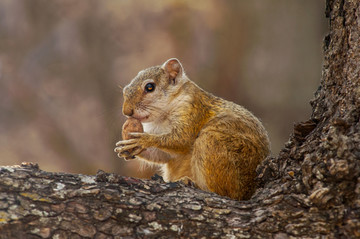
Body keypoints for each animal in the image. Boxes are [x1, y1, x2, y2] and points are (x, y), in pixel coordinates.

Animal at [115, 58, 270, 200]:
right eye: (125, 90)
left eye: (149, 87)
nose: (126, 111)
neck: (163, 116)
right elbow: (162, 155)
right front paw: (130, 148)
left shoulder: (193, 110)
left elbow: (182, 140)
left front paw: (143, 140)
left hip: (214, 144)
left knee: (225, 193)